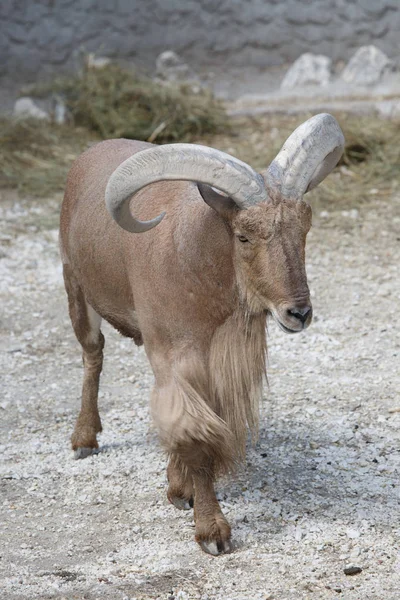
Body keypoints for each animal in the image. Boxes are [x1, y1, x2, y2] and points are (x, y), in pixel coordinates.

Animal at [59, 112, 344, 552]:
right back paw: (85, 439)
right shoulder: (175, 354)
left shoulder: (211, 364)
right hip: (75, 285)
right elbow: (195, 434)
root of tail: (88, 155)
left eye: (304, 231)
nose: (298, 312)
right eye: (243, 235)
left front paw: (180, 489)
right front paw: (212, 531)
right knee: (93, 354)